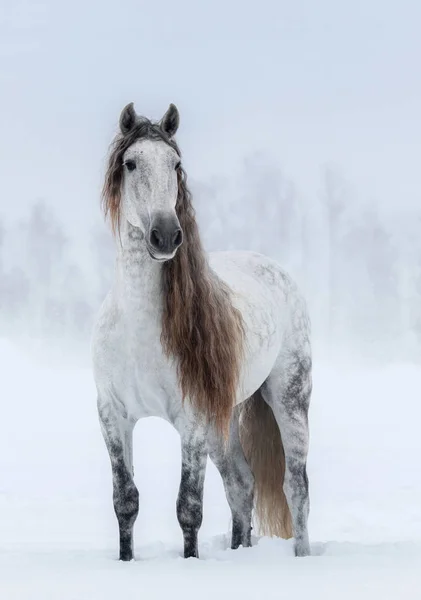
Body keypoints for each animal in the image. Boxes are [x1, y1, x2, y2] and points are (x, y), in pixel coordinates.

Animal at [92, 104, 312, 564]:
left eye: (176, 164)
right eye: (131, 162)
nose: (166, 235)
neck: (138, 327)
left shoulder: (191, 419)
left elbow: (188, 506)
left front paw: (190, 564)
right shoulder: (112, 416)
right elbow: (125, 500)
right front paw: (125, 562)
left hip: (289, 397)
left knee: (296, 485)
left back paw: (302, 557)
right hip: (222, 421)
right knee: (241, 484)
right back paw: (240, 549)